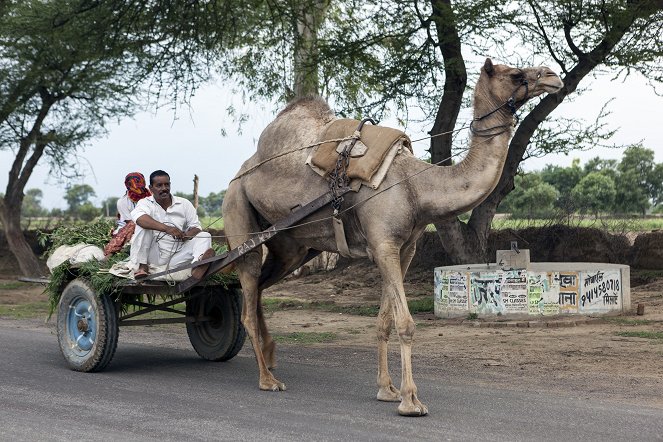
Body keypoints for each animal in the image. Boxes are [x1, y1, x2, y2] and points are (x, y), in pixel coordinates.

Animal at [224, 57, 564, 414]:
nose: (553, 76)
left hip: (292, 246)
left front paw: (387, 389)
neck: (417, 187)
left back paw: (270, 356)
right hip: (239, 208)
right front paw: (410, 400)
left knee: (259, 287)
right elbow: (405, 324)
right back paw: (267, 379)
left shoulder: (405, 249)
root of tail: (240, 172)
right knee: (248, 290)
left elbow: (384, 321)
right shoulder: (383, 244)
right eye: (515, 73)